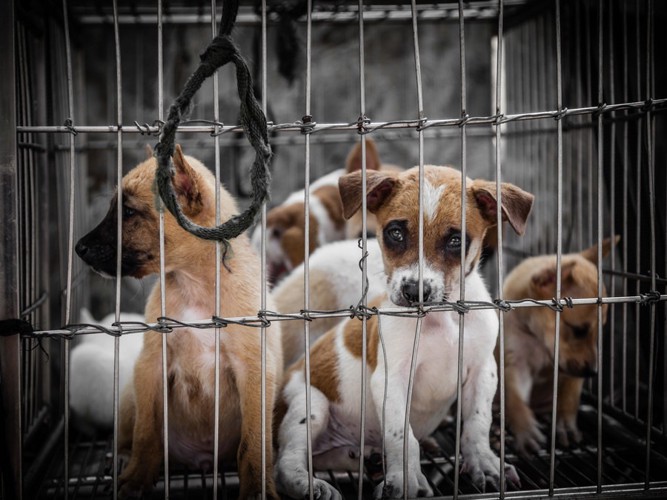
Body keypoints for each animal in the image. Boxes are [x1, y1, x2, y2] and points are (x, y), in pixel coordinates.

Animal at [76, 146, 284, 500]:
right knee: (133, 436)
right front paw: (135, 479)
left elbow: (253, 446)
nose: (79, 248)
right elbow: (146, 434)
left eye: (129, 212)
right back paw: (122, 459)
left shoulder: (255, 371)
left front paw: (258, 489)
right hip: (130, 394)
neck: (194, 285)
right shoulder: (152, 365)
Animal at [274, 166, 536, 498]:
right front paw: (405, 480)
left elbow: (477, 425)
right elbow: (402, 436)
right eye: (395, 233)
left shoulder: (482, 372)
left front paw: (485, 464)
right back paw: (308, 484)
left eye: (455, 240)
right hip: (310, 404)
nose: (414, 291)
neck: (440, 318)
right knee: (286, 462)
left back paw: (369, 459)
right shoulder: (392, 379)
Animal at [504, 236, 620, 456]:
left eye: (599, 331)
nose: (593, 372)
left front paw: (565, 424)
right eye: (579, 330)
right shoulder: (516, 364)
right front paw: (525, 429)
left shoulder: (570, 371)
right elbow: (515, 399)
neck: (537, 338)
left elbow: (569, 397)